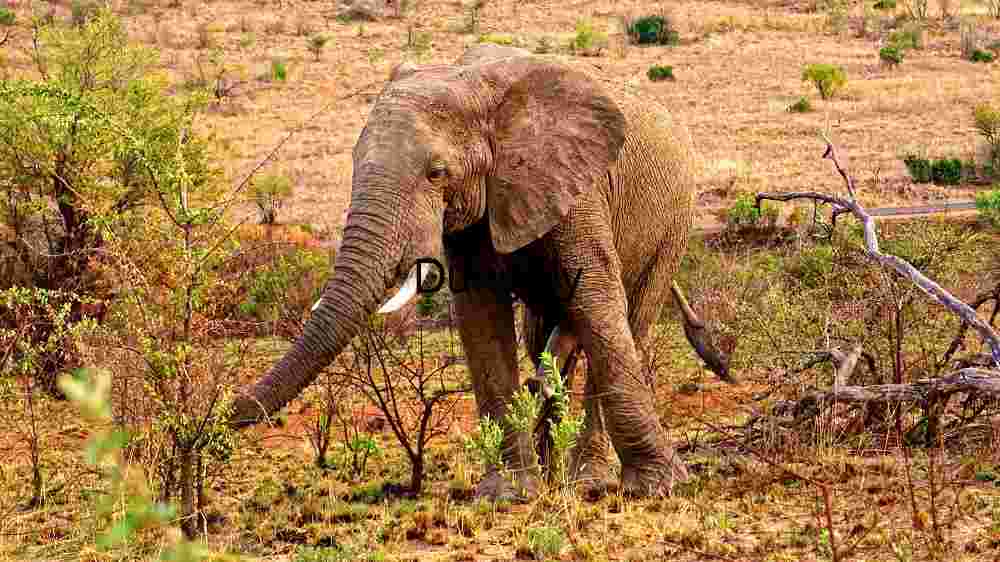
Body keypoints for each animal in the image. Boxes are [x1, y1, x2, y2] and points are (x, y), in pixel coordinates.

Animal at [230, 42, 713, 499]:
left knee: (632, 319)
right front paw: (509, 494)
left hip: (674, 223)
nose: (224, 410)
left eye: (436, 173)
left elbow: (595, 297)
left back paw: (589, 480)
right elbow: (481, 312)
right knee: (543, 333)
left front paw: (659, 486)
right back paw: (553, 469)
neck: (478, 87)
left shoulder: (580, 186)